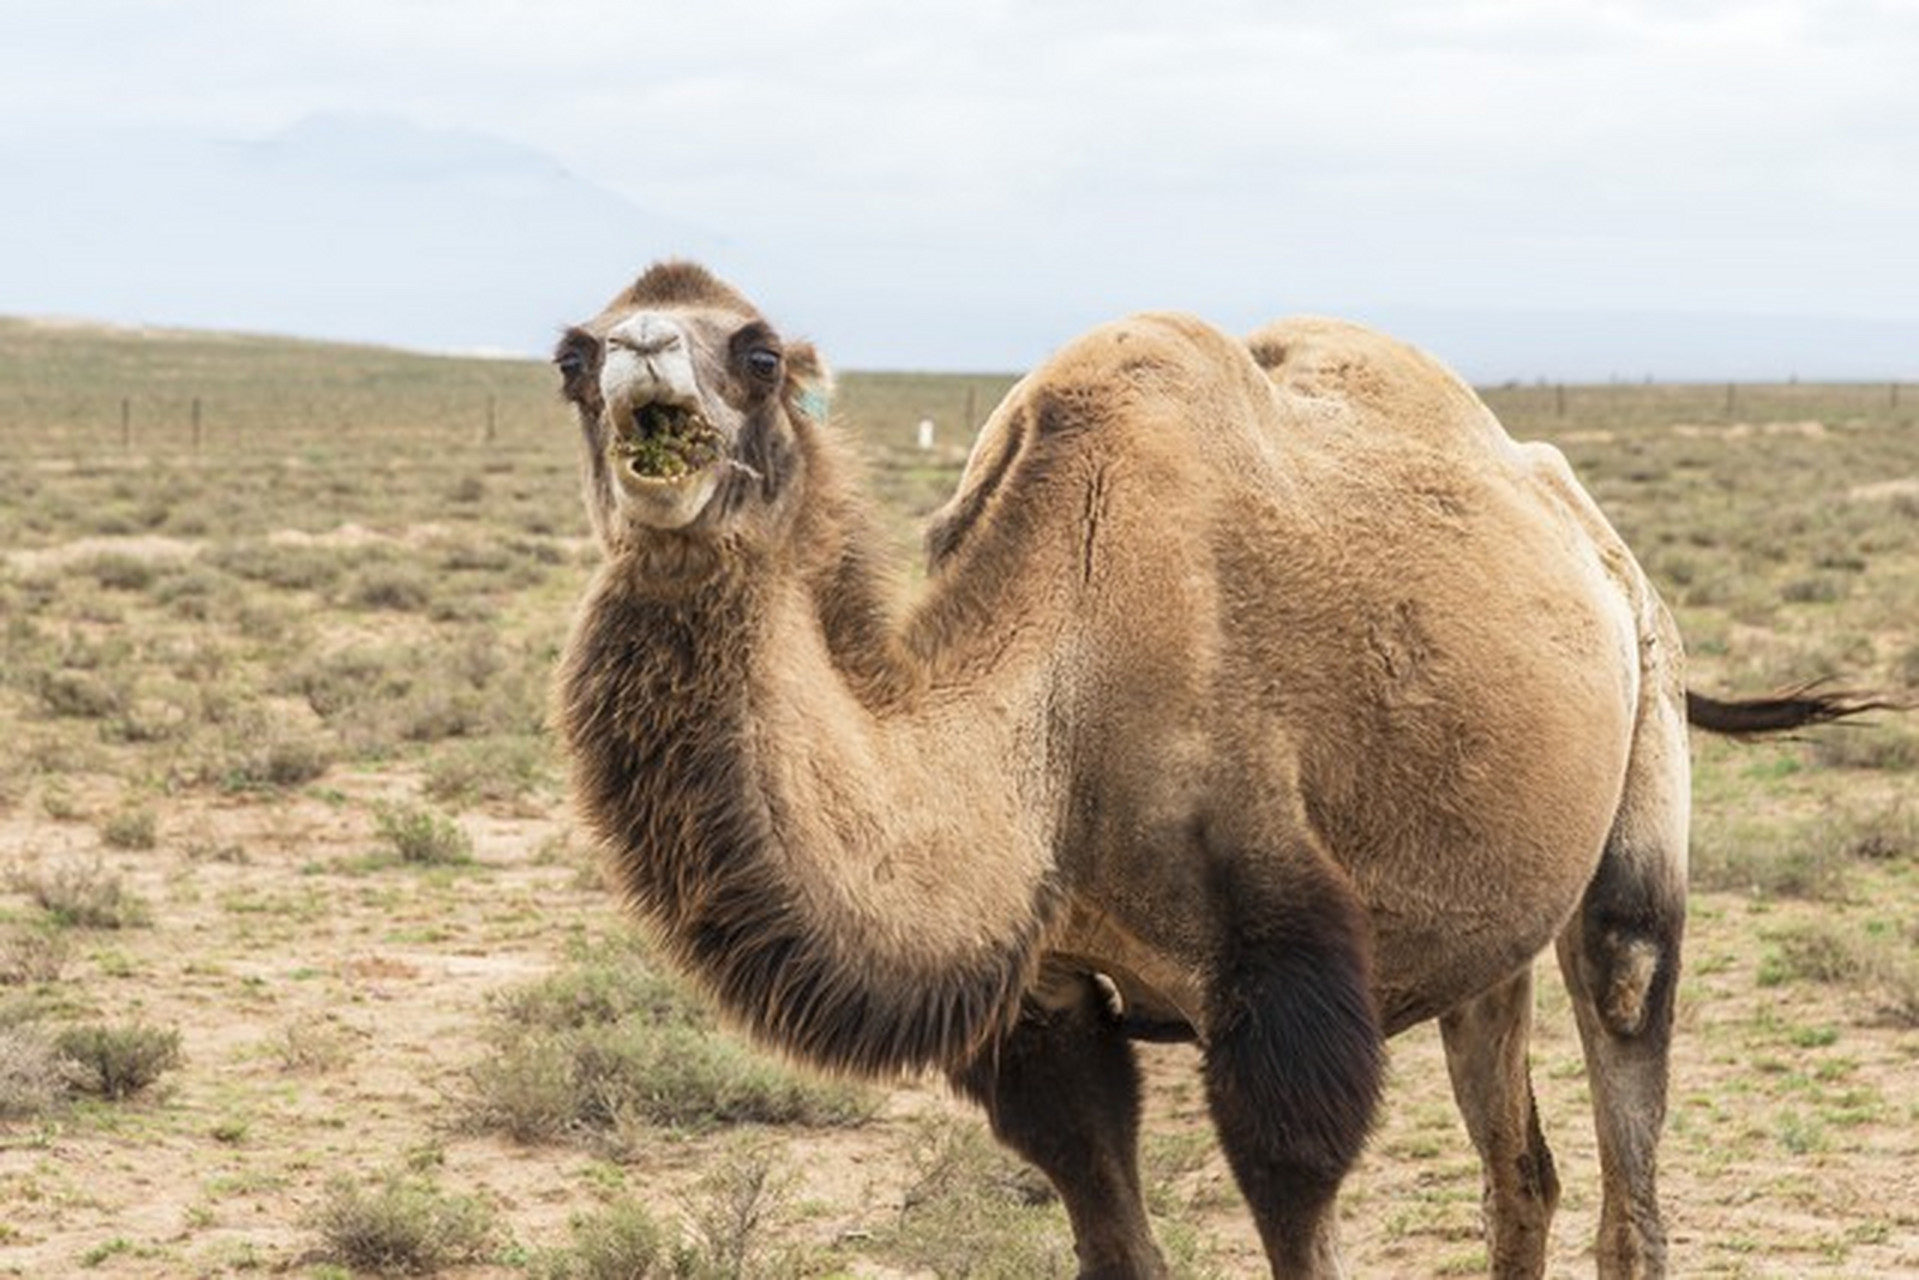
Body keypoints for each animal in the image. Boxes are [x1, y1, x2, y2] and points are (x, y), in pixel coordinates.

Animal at [548, 262, 1880, 1280]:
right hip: (1486, 916)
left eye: (759, 351)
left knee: (1623, 1035)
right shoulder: (1045, 996)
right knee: (1519, 1165)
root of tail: (1594, 538)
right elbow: (1104, 1217)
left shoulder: (1276, 975)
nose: (639, 358)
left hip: (1641, 754)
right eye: (570, 354)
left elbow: (1292, 1190)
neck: (1057, 695)